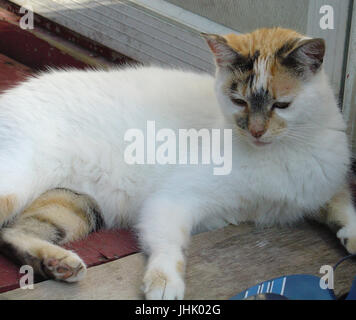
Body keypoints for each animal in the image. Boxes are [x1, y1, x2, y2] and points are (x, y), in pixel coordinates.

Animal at [0, 28, 354, 300]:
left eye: (282, 105)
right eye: (238, 101)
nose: (255, 131)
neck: (277, 152)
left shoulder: (322, 184)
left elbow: (342, 204)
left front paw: (351, 236)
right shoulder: (172, 200)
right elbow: (168, 243)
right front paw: (164, 281)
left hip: (77, 202)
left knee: (12, 233)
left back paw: (57, 263)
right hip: (19, 183)